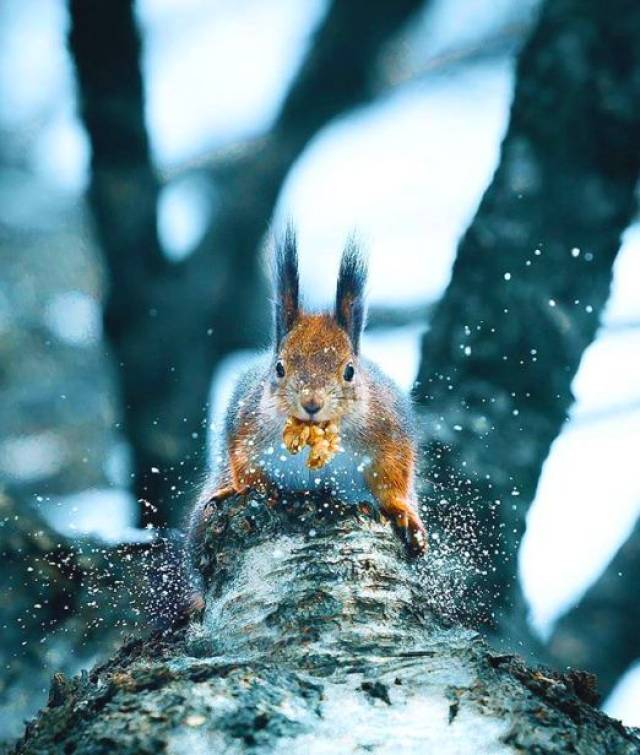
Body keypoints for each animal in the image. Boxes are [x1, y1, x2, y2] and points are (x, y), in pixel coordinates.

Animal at [188, 230, 428, 604]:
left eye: (349, 371)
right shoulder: (244, 430)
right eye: (279, 367)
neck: (315, 436)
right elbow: (246, 470)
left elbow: (394, 481)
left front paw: (406, 517)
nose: (311, 403)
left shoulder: (390, 436)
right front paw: (265, 491)